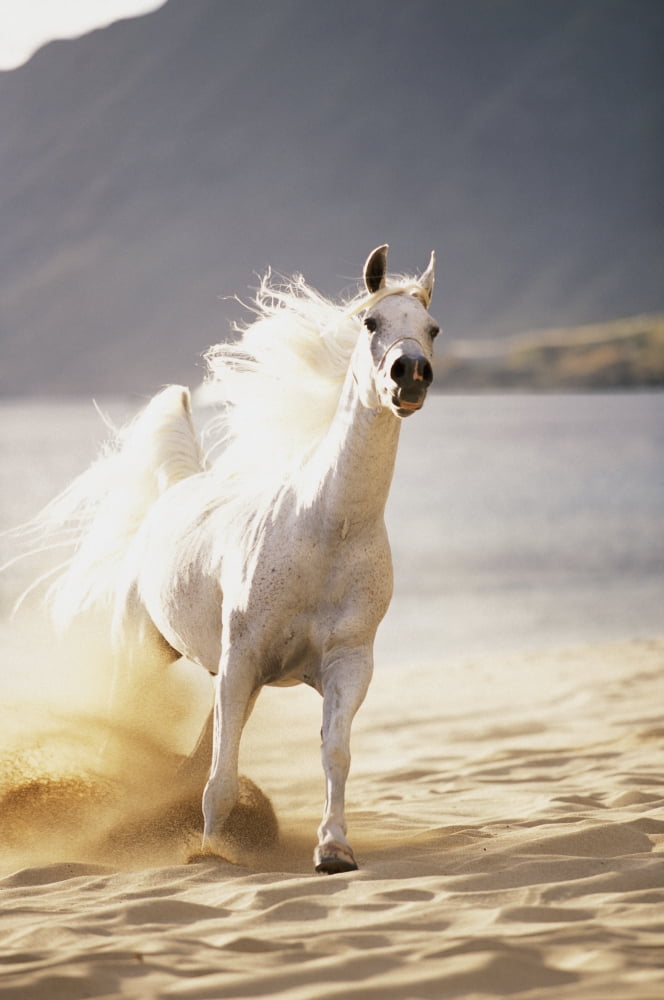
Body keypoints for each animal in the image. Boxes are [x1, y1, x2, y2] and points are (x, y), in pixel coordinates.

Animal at [18, 244, 439, 874]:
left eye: (432, 328)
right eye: (371, 322)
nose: (409, 375)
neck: (325, 531)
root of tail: (177, 489)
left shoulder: (345, 664)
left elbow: (334, 753)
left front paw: (334, 850)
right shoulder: (242, 659)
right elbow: (220, 773)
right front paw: (212, 853)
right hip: (147, 653)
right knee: (131, 730)